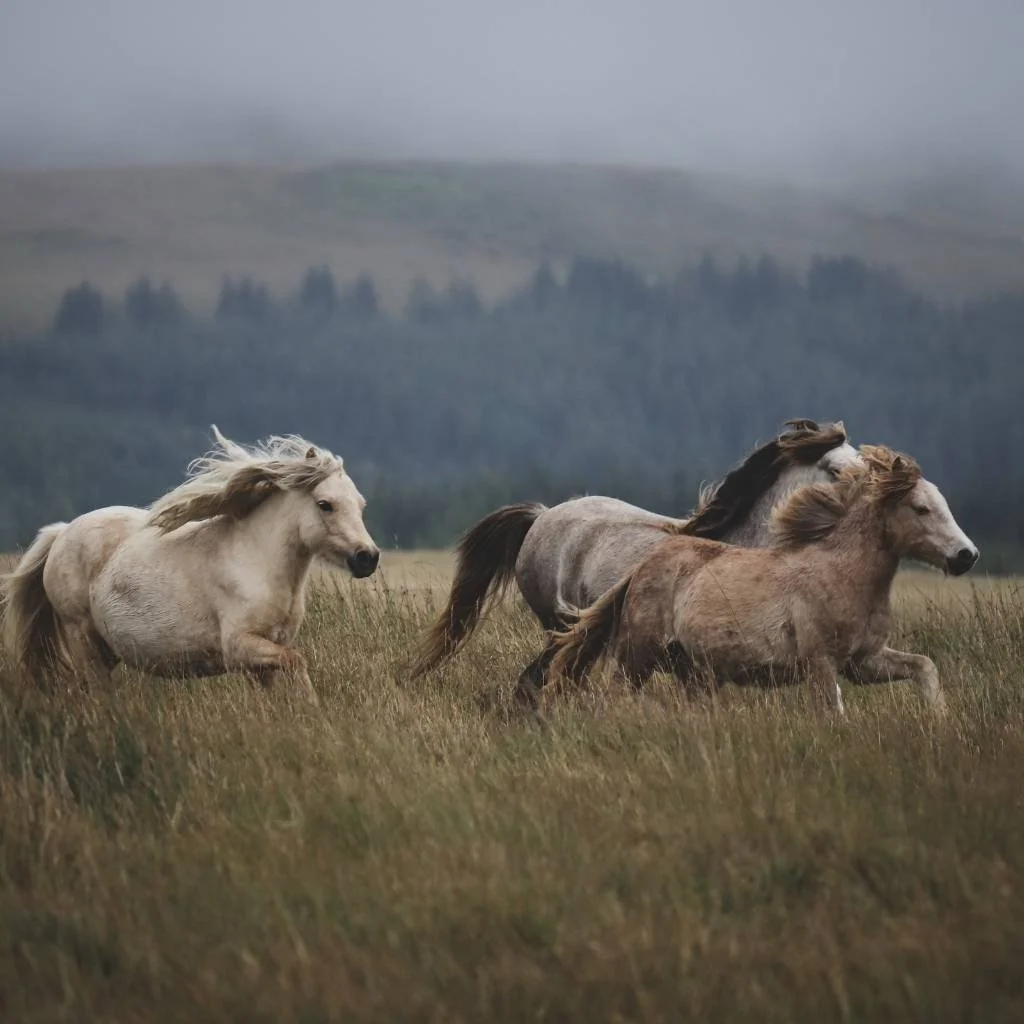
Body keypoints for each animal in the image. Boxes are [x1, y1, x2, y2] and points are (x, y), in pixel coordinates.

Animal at [2, 429, 380, 704]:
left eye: (361, 504)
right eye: (325, 504)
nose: (368, 558)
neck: (257, 562)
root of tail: (62, 532)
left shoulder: (262, 658)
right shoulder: (240, 647)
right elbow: (297, 662)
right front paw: (312, 707)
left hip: (105, 649)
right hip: (82, 637)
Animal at [549, 445, 979, 714]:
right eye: (920, 508)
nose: (966, 556)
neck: (842, 574)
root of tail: (641, 567)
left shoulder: (864, 662)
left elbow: (925, 667)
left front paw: (941, 721)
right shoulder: (820, 663)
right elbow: (833, 712)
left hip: (695, 672)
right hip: (638, 655)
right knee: (616, 693)